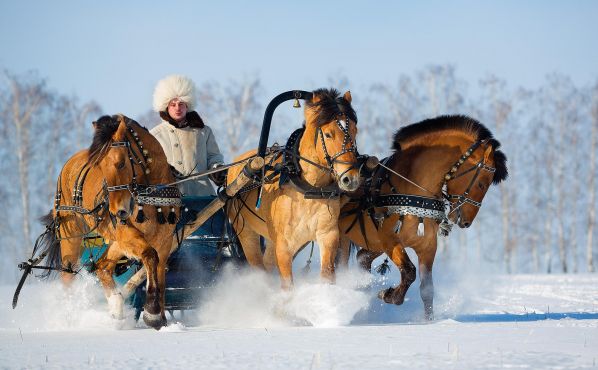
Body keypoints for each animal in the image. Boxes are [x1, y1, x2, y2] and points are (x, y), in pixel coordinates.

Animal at [34, 114, 179, 328]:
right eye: (100, 167)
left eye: (121, 163)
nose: (116, 211)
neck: (150, 194)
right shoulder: (127, 233)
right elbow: (149, 256)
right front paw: (152, 312)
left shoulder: (164, 239)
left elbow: (159, 272)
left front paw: (159, 317)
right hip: (71, 235)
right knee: (68, 276)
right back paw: (71, 317)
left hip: (116, 241)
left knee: (103, 266)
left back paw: (116, 305)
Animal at [227, 89, 360, 290]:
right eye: (328, 134)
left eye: (354, 131)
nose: (350, 178)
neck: (310, 189)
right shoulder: (284, 245)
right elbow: (287, 284)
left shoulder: (328, 235)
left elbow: (327, 273)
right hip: (246, 233)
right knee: (258, 267)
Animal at [340, 116, 508, 320]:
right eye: (482, 183)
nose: (466, 222)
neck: (413, 189)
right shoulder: (390, 240)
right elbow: (409, 272)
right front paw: (388, 295)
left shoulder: (427, 245)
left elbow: (427, 289)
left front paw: (429, 321)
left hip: (373, 243)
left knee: (362, 258)